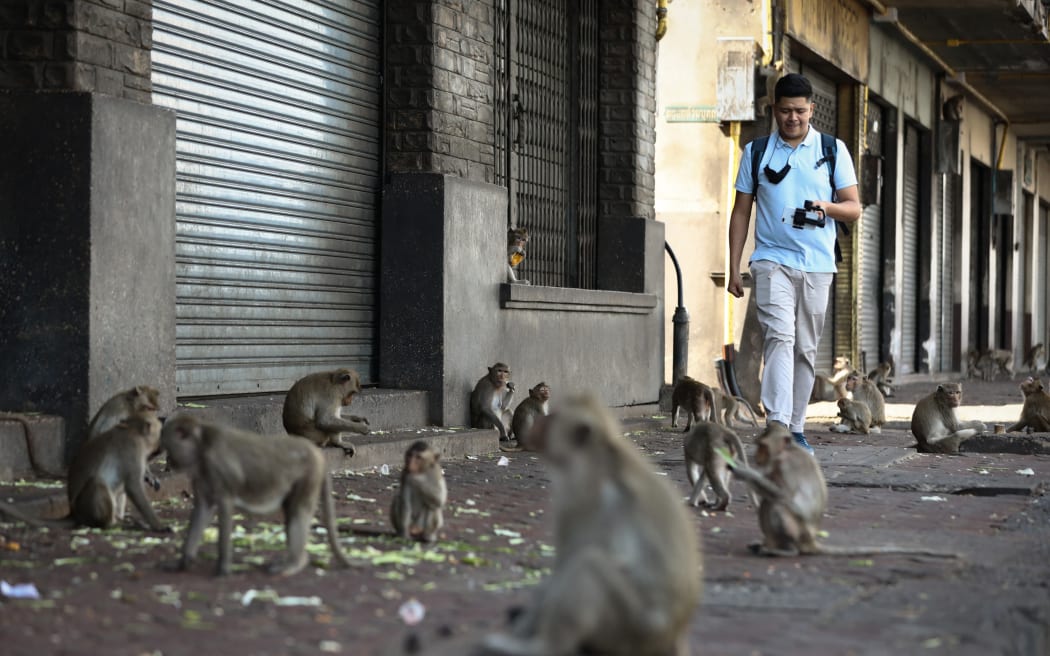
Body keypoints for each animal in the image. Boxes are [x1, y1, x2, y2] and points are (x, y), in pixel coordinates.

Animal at [0, 413, 170, 533]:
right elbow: (134, 487)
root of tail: (74, 513)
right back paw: (111, 525)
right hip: (85, 506)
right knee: (97, 483)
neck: (133, 432)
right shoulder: (132, 451)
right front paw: (159, 526)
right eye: (160, 432)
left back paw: (120, 520)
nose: (162, 445)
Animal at [158, 411, 348, 575]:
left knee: (298, 511)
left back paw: (295, 563)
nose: (169, 462)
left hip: (309, 475)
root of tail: (316, 454)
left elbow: (224, 507)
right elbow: (203, 509)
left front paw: (223, 568)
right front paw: (183, 562)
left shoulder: (219, 468)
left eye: (168, 446)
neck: (202, 446)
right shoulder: (201, 476)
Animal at [480, 394, 701, 654]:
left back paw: (542, 647)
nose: (539, 426)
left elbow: (570, 559)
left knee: (589, 564)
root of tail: (673, 635)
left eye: (554, 419)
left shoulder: (581, 494)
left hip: (630, 628)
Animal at [726, 421, 957, 554]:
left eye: (763, 447)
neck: (788, 451)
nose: (757, 457)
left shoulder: (785, 464)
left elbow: (786, 498)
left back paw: (786, 549)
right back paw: (768, 545)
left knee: (776, 504)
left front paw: (740, 470)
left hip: (798, 531)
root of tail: (810, 540)